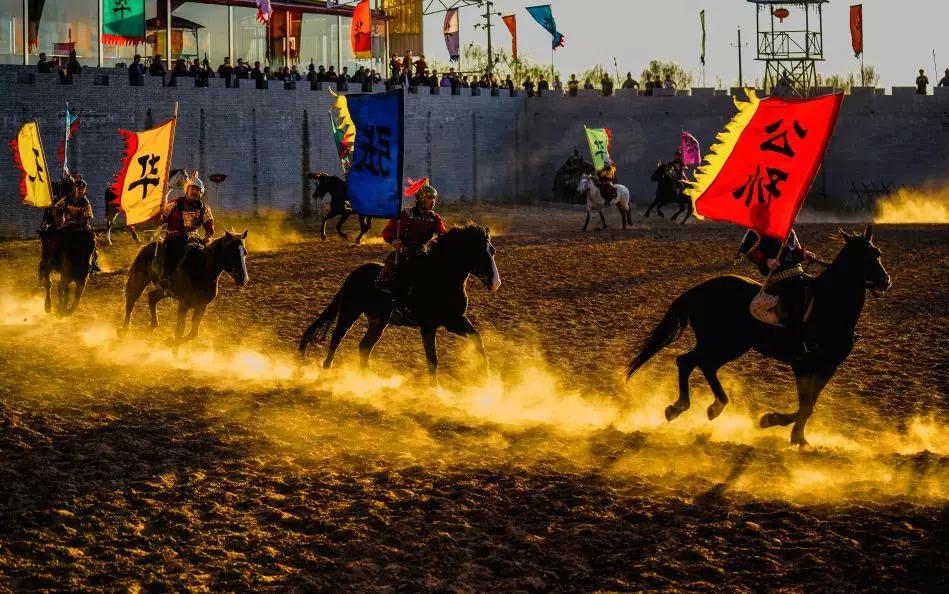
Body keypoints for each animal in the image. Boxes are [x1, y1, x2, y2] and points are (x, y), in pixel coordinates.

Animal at [118, 230, 250, 352]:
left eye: (245, 253)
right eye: (232, 252)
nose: (243, 279)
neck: (201, 270)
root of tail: (150, 246)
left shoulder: (202, 305)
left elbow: (193, 333)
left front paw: (170, 342)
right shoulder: (183, 303)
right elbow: (180, 330)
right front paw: (174, 349)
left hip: (164, 290)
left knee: (151, 297)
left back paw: (153, 326)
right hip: (140, 279)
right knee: (131, 301)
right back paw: (124, 330)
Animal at [300, 223, 500, 384]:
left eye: (492, 251)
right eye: (478, 252)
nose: (495, 283)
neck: (439, 278)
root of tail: (354, 274)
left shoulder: (455, 321)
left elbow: (478, 339)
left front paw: (487, 375)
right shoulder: (428, 326)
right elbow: (432, 360)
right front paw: (435, 391)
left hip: (379, 322)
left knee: (364, 347)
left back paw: (369, 380)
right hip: (349, 312)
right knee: (337, 338)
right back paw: (326, 372)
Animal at [628, 225, 888, 444]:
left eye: (878, 252)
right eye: (867, 256)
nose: (886, 281)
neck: (830, 306)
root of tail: (698, 289)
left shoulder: (828, 366)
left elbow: (809, 405)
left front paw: (796, 436)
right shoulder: (802, 364)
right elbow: (805, 404)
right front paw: (774, 423)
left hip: (729, 345)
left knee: (699, 363)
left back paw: (701, 407)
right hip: (723, 342)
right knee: (690, 361)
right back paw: (691, 407)